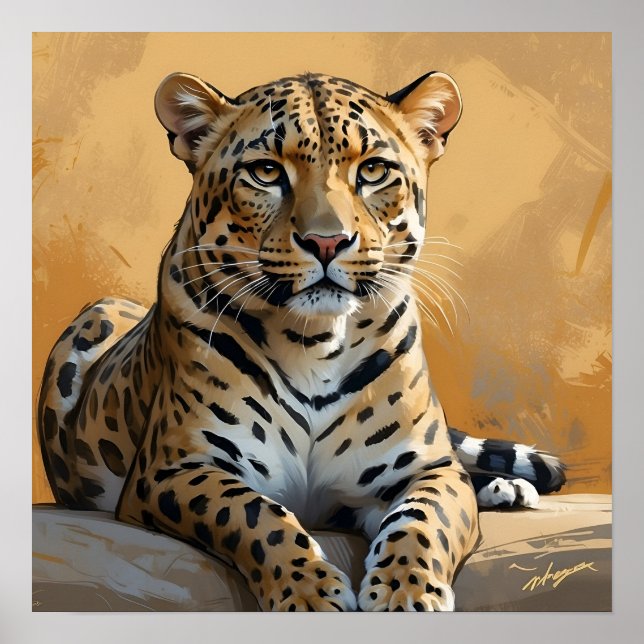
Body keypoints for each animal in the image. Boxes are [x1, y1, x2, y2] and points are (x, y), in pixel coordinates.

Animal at [37, 69, 565, 611]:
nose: (326, 242)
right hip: (93, 319)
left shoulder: (426, 468)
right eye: (267, 172)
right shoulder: (175, 468)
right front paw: (310, 595)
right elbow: (253, 513)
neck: (315, 343)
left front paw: (405, 592)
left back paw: (508, 487)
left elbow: (423, 521)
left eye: (373, 170)